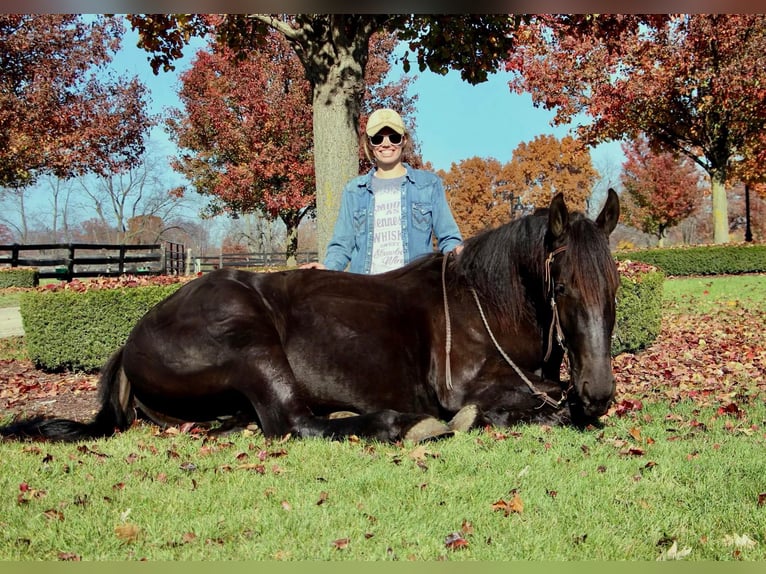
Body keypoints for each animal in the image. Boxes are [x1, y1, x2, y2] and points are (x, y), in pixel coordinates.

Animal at [1, 191, 624, 444]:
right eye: (562, 286)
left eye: (615, 285)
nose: (599, 392)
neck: (482, 305)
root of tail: (133, 340)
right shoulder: (465, 386)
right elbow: (541, 399)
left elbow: (552, 395)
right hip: (251, 344)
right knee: (294, 423)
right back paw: (401, 425)